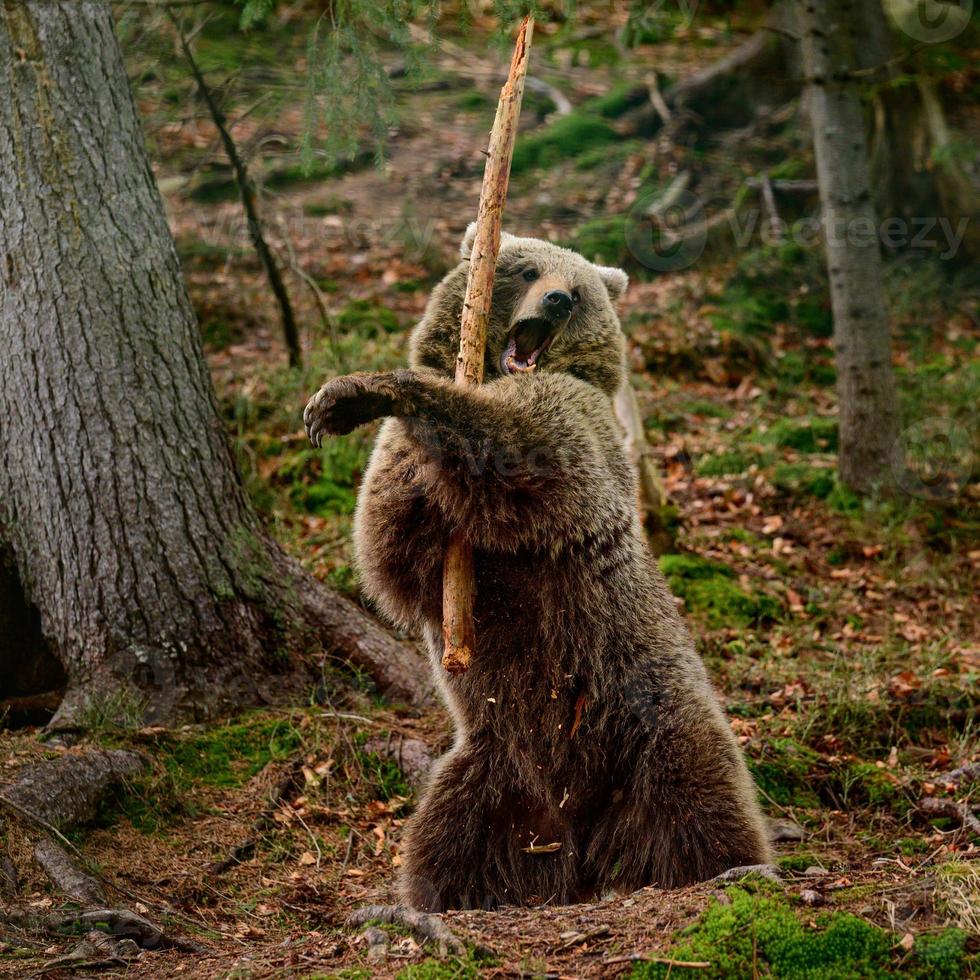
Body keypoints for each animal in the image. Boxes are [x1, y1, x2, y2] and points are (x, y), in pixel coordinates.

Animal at [302, 224, 768, 912]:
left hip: (648, 715)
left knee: (700, 798)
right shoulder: (398, 485)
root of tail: (580, 833)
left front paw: (366, 390)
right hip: (493, 765)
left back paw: (731, 866)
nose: (556, 301)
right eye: (524, 270)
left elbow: (517, 441)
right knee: (447, 835)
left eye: (577, 288)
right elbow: (388, 549)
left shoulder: (577, 425)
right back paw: (446, 894)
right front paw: (341, 405)